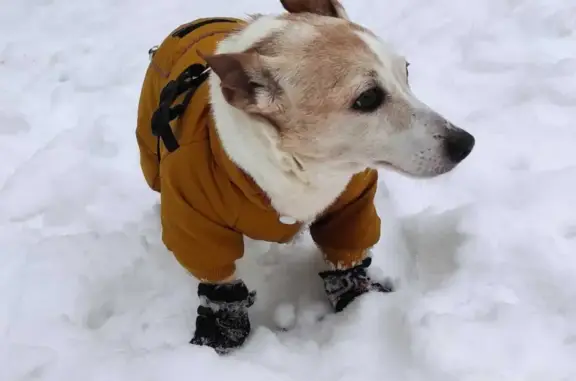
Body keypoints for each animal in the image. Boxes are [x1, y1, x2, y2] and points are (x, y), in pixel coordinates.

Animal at [135, 0, 472, 354]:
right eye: (367, 98)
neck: (304, 172)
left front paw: (358, 300)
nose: (465, 144)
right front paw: (220, 333)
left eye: (406, 72)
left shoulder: (351, 206)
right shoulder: (197, 221)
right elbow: (219, 282)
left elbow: (347, 255)